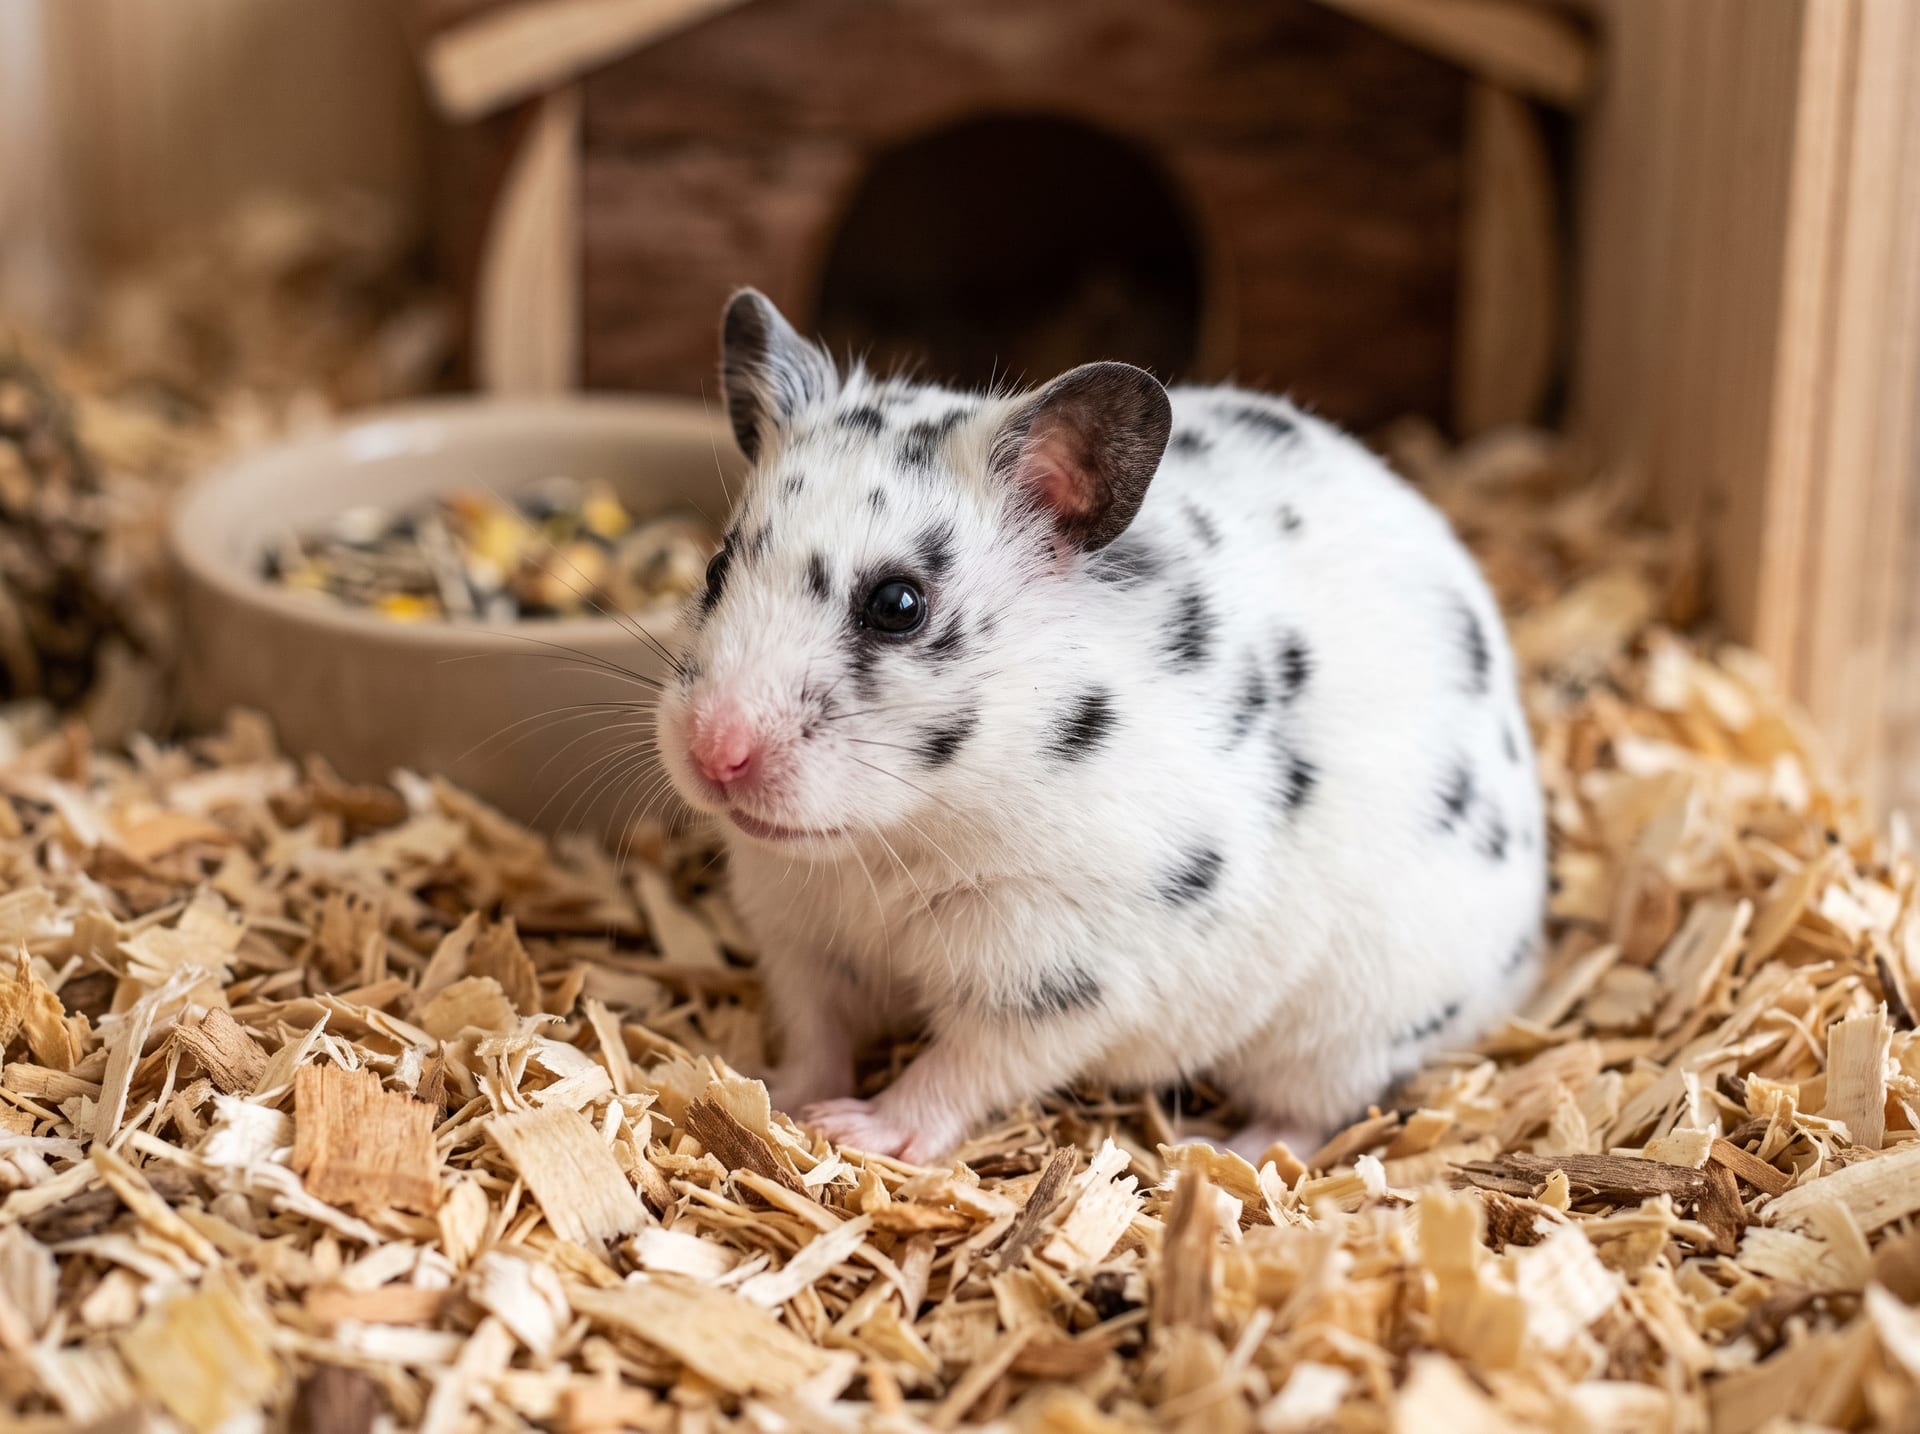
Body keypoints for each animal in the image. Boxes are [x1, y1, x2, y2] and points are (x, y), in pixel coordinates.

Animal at [653, 289, 1546, 1163]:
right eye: (717, 569)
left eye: (898, 605)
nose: (714, 754)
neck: (887, 843)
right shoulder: (799, 935)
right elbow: (816, 1036)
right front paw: (772, 1099)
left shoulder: (1058, 969)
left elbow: (961, 1067)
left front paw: (858, 1131)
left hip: (1344, 1027)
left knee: (1308, 1115)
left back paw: (1221, 1151)